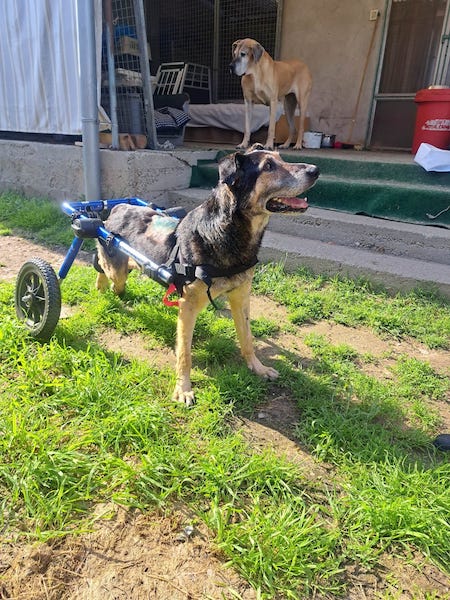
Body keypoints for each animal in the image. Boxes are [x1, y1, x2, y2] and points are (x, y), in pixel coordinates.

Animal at [95, 145, 319, 405]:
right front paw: (183, 389)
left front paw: (258, 368)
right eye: (268, 166)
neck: (225, 234)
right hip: (116, 269)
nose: (316, 170)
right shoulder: (188, 306)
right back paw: (100, 282)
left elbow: (247, 339)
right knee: (104, 268)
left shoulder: (241, 297)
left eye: (281, 158)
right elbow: (185, 353)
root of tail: (119, 206)